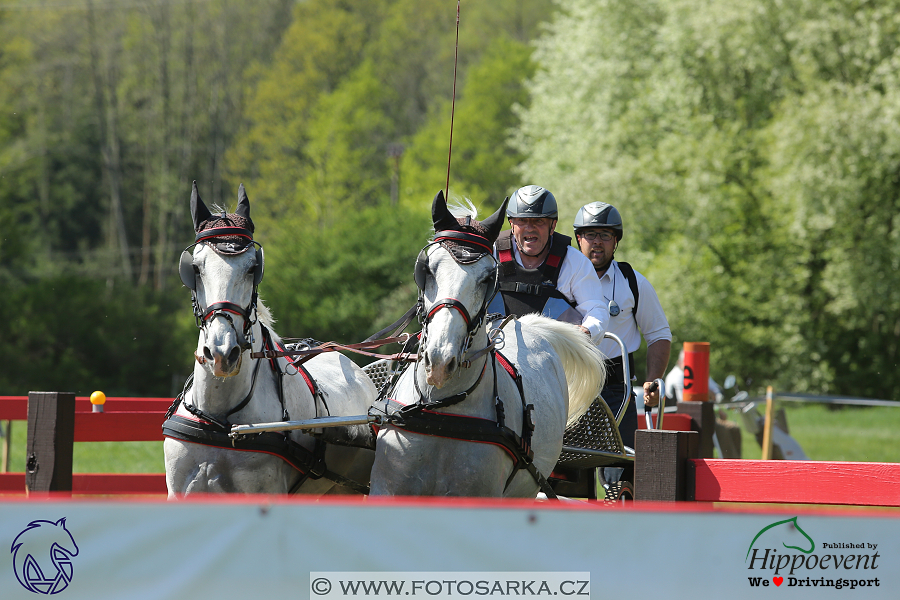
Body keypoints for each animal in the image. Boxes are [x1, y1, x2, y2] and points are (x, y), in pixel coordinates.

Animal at [370, 192, 608, 496]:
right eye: (427, 270)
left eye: (486, 278)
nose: (440, 361)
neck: (441, 411)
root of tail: (528, 325)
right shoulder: (387, 488)